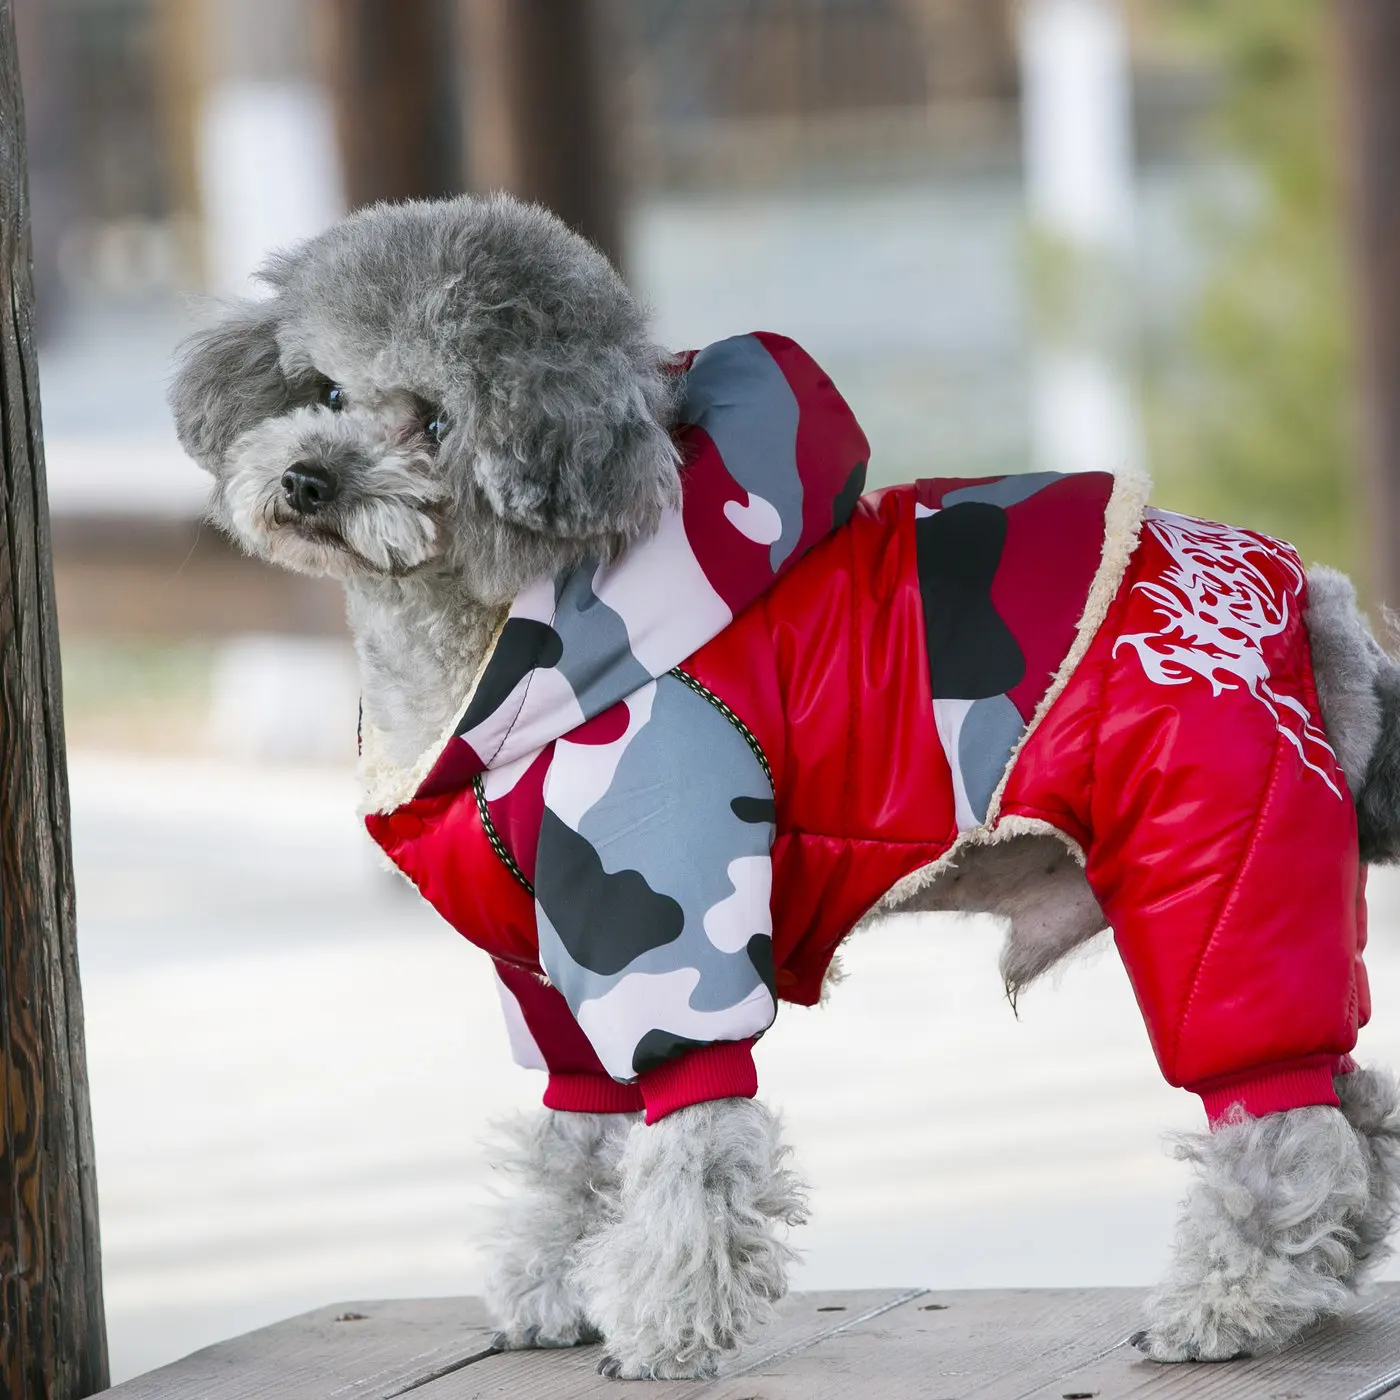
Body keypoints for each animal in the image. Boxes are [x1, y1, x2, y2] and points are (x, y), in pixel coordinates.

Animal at [172, 194, 1400, 1377]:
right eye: (323, 389)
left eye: (432, 420)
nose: (306, 478)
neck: (501, 648)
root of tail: (1317, 606)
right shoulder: (544, 973)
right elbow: (569, 1144)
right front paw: (546, 1293)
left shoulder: (661, 935)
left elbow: (693, 1145)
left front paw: (667, 1326)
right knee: (1347, 1103)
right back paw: (1321, 1268)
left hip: (1214, 869)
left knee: (1276, 1119)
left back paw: (1225, 1305)